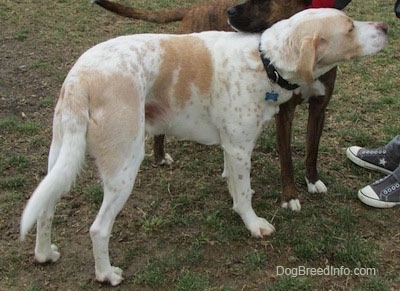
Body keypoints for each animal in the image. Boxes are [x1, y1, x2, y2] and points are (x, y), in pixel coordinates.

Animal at [93, 0, 332, 211]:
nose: (230, 12)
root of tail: (193, 9)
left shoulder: (319, 109)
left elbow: (312, 148)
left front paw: (312, 180)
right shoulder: (284, 114)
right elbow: (286, 160)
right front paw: (290, 197)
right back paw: (160, 156)